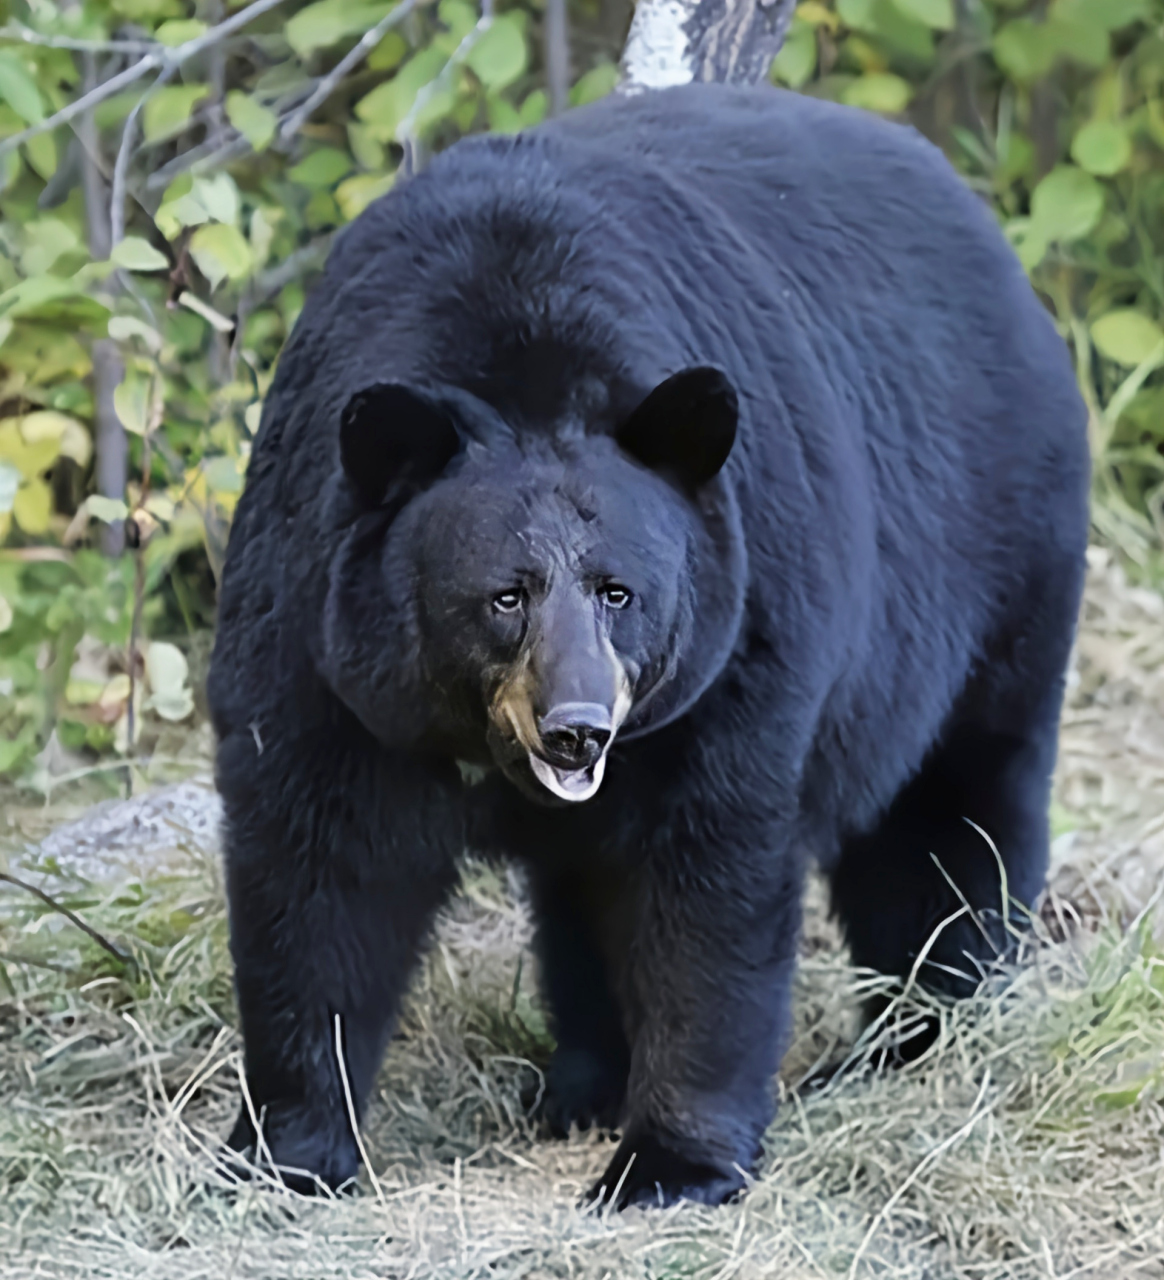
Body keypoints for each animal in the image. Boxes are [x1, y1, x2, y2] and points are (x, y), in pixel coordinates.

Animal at [208, 82, 1091, 1208]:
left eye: (619, 592)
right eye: (505, 595)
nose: (578, 727)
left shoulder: (737, 646)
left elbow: (705, 881)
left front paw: (668, 1163)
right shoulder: (317, 636)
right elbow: (318, 873)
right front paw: (288, 1151)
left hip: (992, 570)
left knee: (950, 815)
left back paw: (931, 1030)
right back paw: (583, 1083)